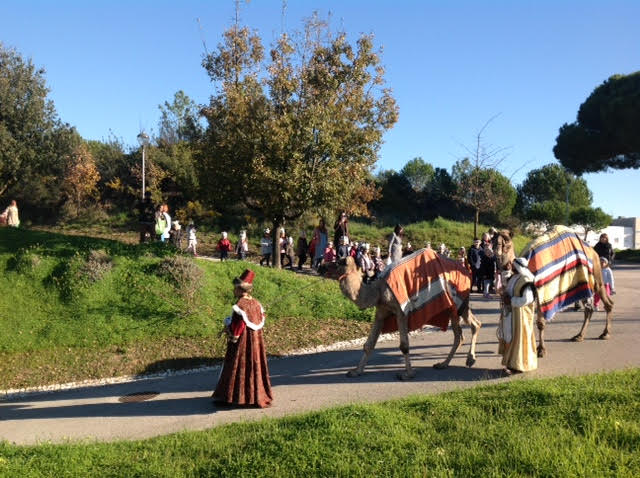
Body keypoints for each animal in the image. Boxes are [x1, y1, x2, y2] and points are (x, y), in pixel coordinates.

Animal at [334, 254, 481, 380]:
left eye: (339, 262)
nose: (325, 264)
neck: (378, 290)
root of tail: (467, 271)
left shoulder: (401, 311)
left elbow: (404, 345)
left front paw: (407, 374)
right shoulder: (381, 311)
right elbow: (369, 344)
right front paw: (356, 371)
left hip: (460, 301)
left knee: (474, 324)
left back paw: (470, 359)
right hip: (451, 308)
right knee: (459, 334)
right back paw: (443, 364)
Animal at [494, 227, 614, 358]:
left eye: (507, 242)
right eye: (494, 240)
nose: (497, 249)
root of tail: (593, 251)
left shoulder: (541, 292)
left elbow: (540, 322)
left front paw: (541, 350)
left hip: (596, 277)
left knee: (607, 303)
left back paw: (605, 333)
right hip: (582, 285)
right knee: (589, 309)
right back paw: (579, 336)